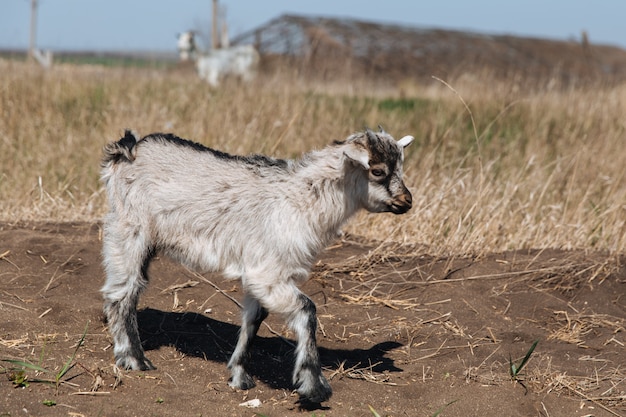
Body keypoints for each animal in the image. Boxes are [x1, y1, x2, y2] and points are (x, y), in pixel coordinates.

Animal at [101, 128, 414, 402]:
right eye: (377, 171)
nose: (407, 201)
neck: (303, 198)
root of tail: (128, 149)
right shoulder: (269, 273)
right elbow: (307, 310)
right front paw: (314, 385)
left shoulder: (258, 273)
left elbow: (254, 318)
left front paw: (239, 375)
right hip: (130, 229)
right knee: (122, 293)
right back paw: (135, 359)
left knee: (126, 290)